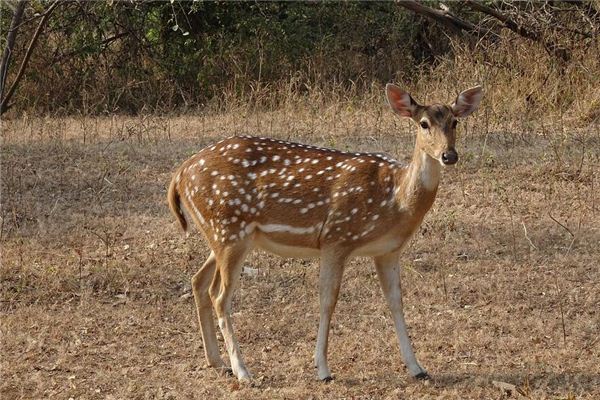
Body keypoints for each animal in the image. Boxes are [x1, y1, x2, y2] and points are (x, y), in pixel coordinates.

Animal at [168, 84, 482, 382]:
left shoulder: (388, 250)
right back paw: (243, 371)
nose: (449, 155)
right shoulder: (337, 237)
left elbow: (396, 302)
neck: (396, 199)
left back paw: (217, 361)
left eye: (455, 122)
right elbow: (327, 300)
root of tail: (180, 173)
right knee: (220, 295)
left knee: (198, 282)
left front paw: (417, 368)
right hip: (229, 229)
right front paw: (323, 369)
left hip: (224, 235)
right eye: (424, 123)